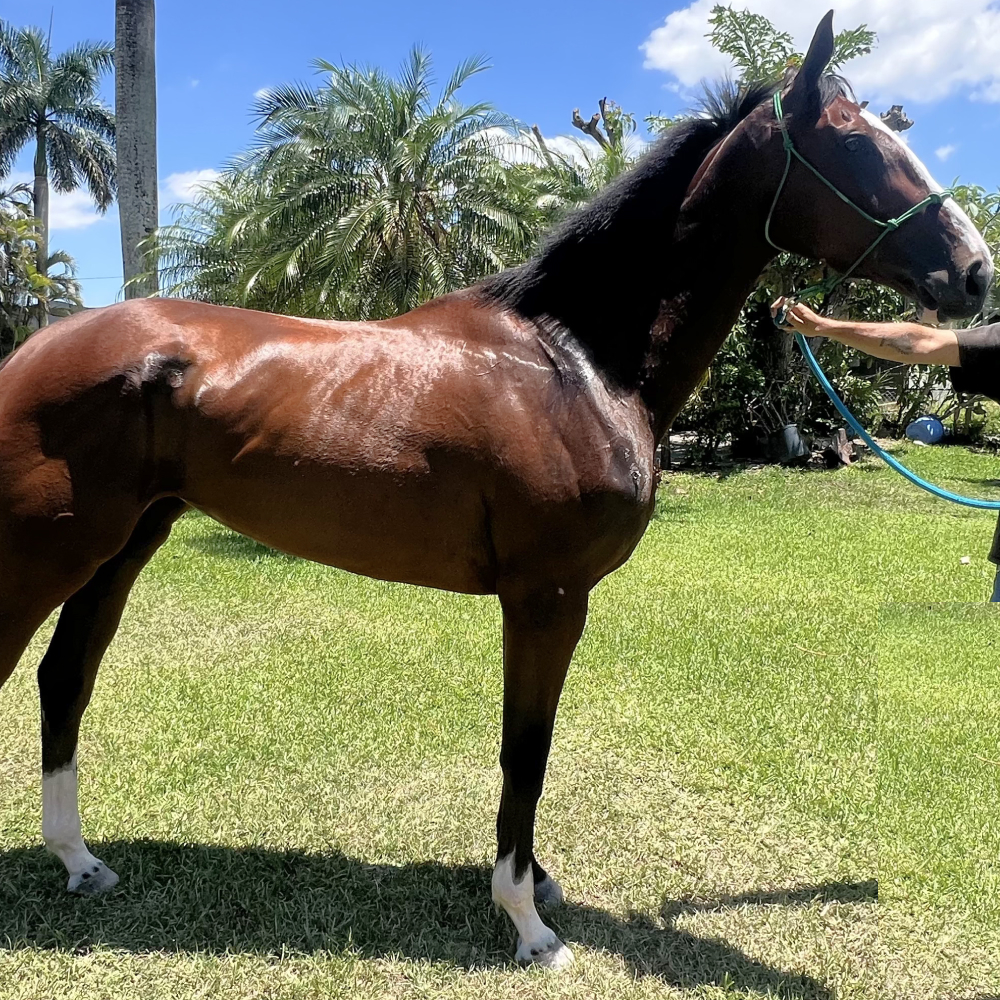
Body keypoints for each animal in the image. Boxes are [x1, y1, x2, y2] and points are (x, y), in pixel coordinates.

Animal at [0, 12, 992, 969]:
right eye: (854, 142)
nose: (975, 271)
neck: (574, 361)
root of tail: (32, 348)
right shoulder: (548, 598)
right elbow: (528, 750)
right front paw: (526, 921)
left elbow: (530, 747)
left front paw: (536, 882)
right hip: (48, 552)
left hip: (124, 544)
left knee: (63, 679)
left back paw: (80, 861)